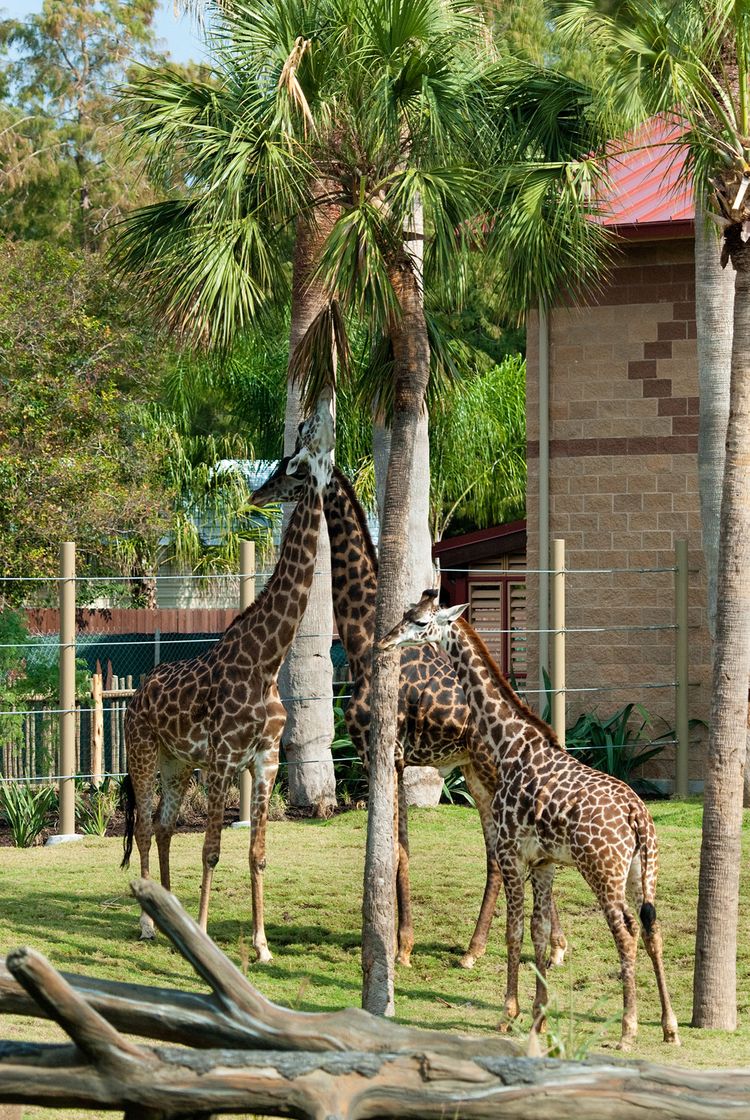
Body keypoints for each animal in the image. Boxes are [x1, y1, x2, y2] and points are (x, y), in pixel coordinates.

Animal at [121, 398, 335, 958]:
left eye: (291, 467)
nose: (257, 493)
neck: (267, 660)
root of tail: (134, 696)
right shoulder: (221, 758)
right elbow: (212, 848)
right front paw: (202, 931)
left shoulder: (265, 760)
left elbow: (256, 852)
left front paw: (261, 945)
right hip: (143, 753)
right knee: (146, 827)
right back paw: (148, 923)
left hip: (176, 763)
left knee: (165, 825)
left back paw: (167, 912)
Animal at [249, 454, 566, 972]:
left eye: (292, 468)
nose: (257, 494)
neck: (360, 639)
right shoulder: (395, 758)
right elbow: (400, 850)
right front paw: (401, 942)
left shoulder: (385, 753)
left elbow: (395, 851)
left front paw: (400, 947)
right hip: (475, 774)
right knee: (496, 855)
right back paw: (491, 948)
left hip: (490, 775)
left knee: (510, 853)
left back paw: (524, 948)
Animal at [382, 591, 680, 1052]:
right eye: (405, 613)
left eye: (419, 621)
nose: (385, 642)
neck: (509, 744)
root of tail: (638, 815)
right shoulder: (543, 864)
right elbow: (538, 933)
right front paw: (538, 1018)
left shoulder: (510, 853)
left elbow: (514, 931)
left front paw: (508, 1014)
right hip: (642, 871)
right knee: (652, 929)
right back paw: (669, 1025)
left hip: (602, 872)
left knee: (626, 934)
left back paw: (629, 1030)